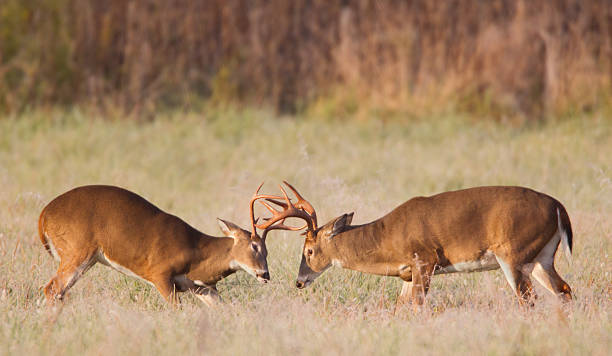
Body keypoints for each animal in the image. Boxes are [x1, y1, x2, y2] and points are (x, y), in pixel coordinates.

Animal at [38, 184, 290, 306]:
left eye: (267, 250)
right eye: (254, 246)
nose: (265, 274)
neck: (197, 253)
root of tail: (44, 216)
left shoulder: (201, 287)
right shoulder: (160, 273)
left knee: (56, 291)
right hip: (77, 252)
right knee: (51, 288)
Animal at [258, 182, 572, 304]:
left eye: (309, 251)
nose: (299, 281)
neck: (388, 238)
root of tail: (558, 207)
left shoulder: (425, 259)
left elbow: (418, 307)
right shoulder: (407, 274)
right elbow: (401, 308)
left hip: (514, 254)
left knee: (528, 299)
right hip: (542, 257)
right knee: (564, 290)